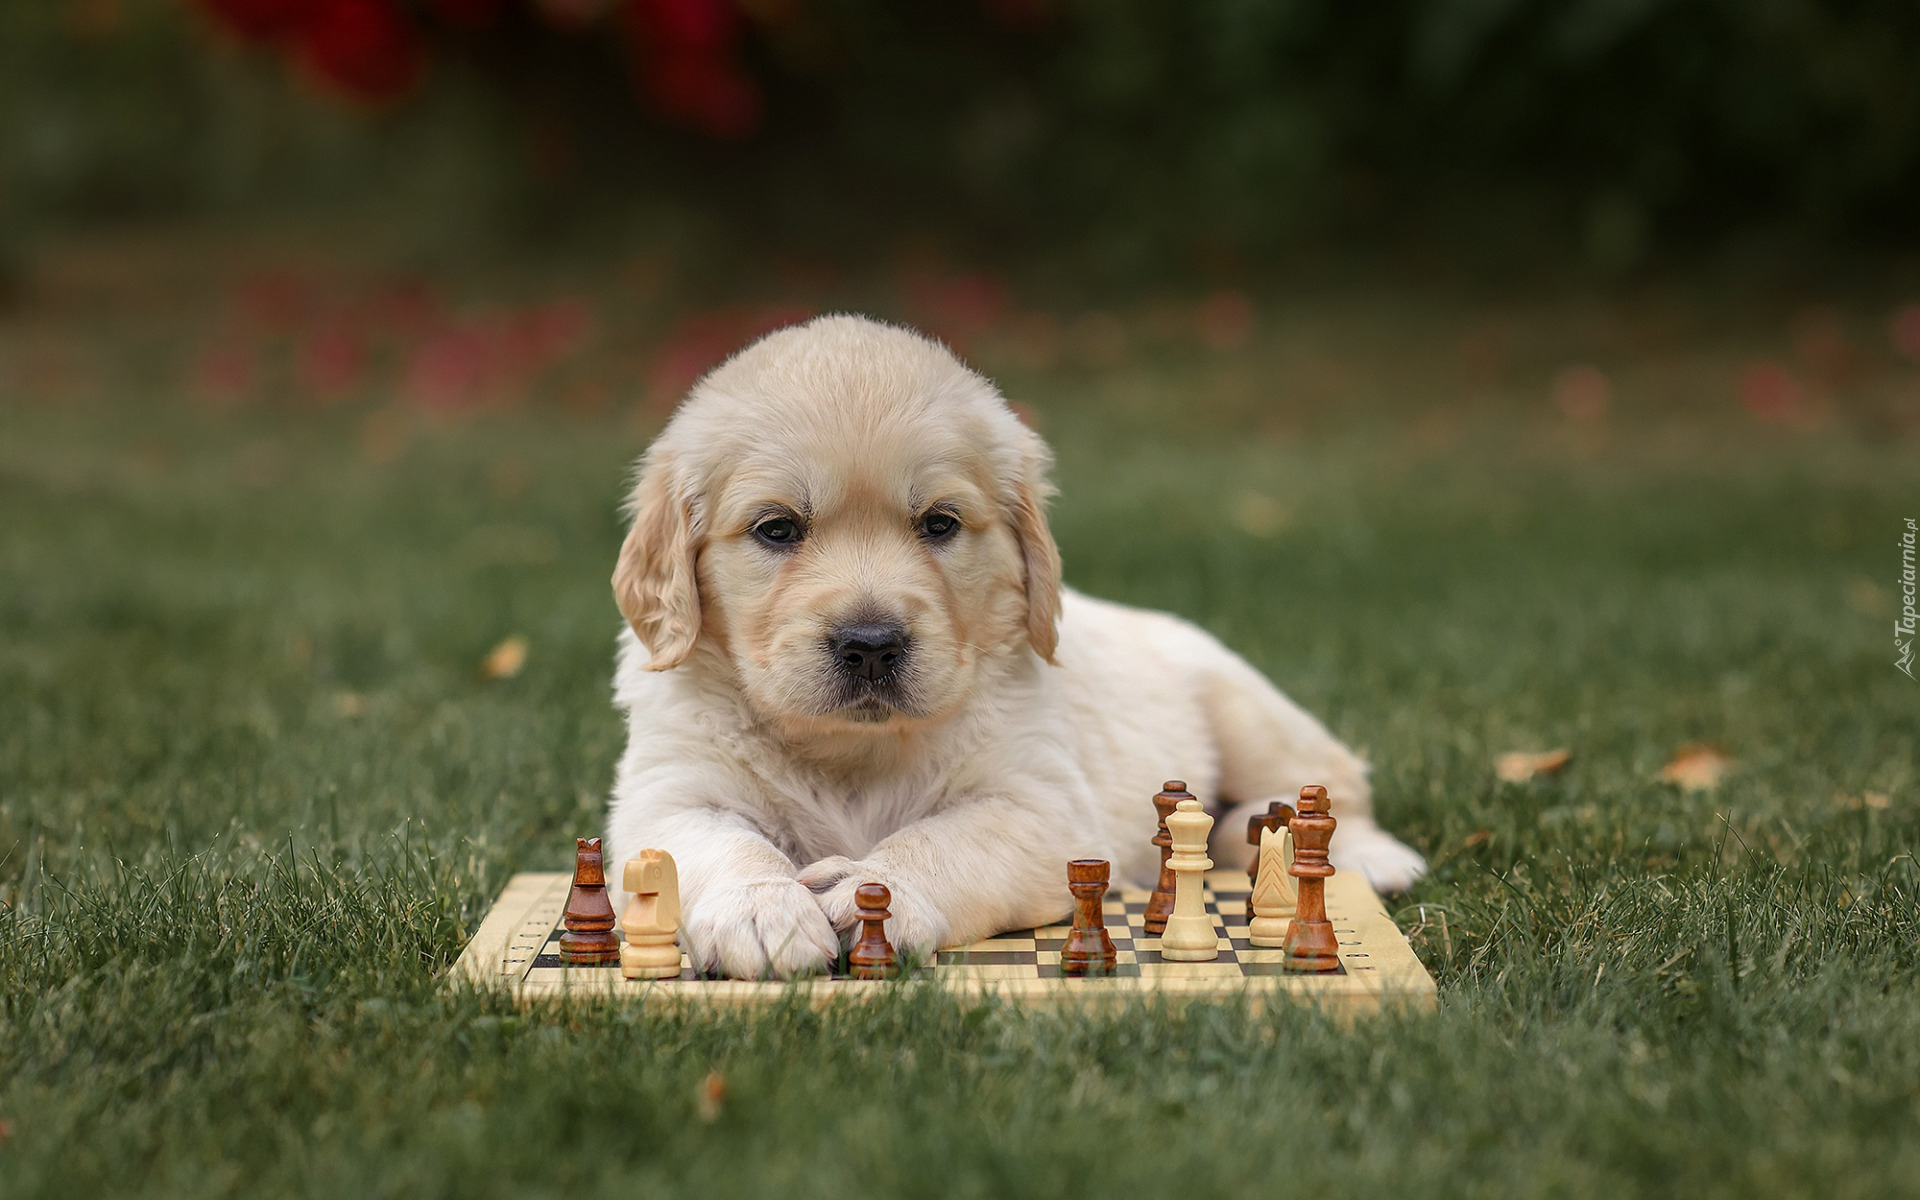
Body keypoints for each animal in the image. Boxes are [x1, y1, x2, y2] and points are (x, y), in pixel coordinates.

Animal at [602, 316, 1428, 975]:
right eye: (776, 529)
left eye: (939, 524)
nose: (870, 645)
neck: (853, 753)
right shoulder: (668, 791)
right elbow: (714, 845)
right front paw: (762, 910)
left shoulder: (1038, 806)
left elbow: (943, 841)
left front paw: (874, 890)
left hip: (1248, 711)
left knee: (1333, 786)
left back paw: (1372, 858)